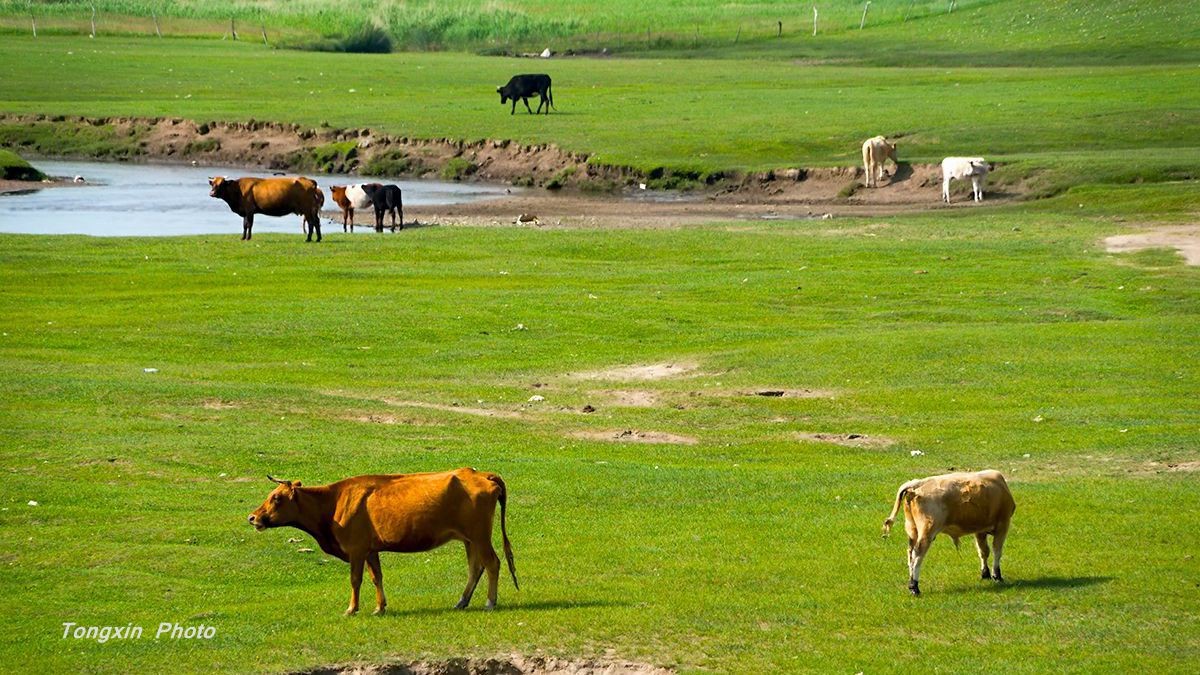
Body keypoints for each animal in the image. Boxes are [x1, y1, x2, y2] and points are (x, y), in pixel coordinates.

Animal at [248, 466, 516, 612]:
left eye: (276, 498)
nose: (252, 517)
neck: (334, 502)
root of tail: (482, 474)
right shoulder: (370, 549)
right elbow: (376, 577)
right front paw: (380, 607)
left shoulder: (356, 549)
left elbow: (355, 580)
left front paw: (352, 608)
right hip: (469, 538)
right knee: (475, 567)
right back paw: (461, 601)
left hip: (480, 535)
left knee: (492, 563)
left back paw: (490, 602)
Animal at [883, 468, 1012, 593]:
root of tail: (917, 483)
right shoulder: (1003, 524)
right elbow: (997, 550)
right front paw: (997, 576)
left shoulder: (980, 529)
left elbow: (983, 551)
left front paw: (985, 574)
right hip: (927, 532)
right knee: (917, 555)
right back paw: (914, 587)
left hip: (912, 529)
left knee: (910, 554)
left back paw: (911, 583)